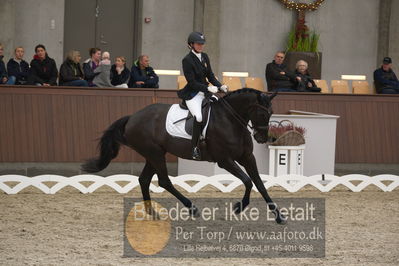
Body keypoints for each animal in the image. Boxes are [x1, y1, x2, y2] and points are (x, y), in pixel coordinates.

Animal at [82, 88, 288, 223]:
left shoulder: (247, 157)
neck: (230, 120)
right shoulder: (225, 160)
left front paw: (279, 216)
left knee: (144, 179)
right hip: (155, 153)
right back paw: (192, 208)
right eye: (262, 113)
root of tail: (132, 117)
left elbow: (259, 183)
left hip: (154, 154)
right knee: (164, 181)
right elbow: (247, 181)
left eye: (271, 113)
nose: (262, 138)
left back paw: (151, 213)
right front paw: (240, 206)